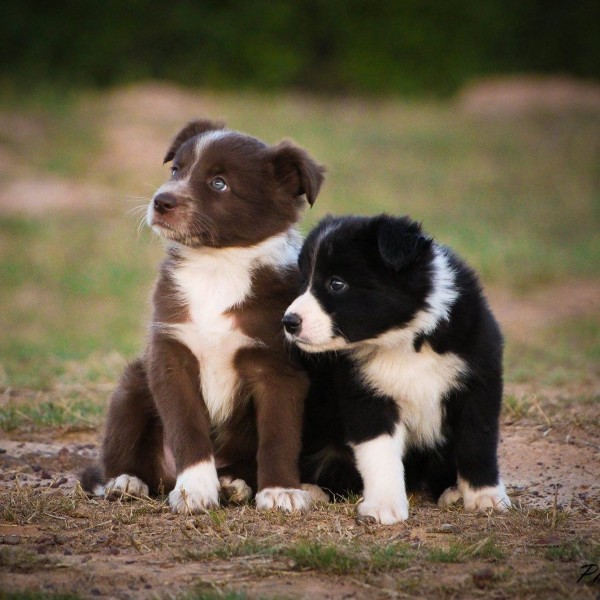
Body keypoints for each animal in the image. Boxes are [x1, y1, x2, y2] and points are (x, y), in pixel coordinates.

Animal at [82, 119, 326, 512]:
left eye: (219, 183)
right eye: (176, 170)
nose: (161, 201)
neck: (217, 268)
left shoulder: (278, 368)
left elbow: (278, 435)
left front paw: (279, 491)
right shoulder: (171, 357)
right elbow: (188, 428)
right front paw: (194, 489)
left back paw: (234, 484)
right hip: (133, 384)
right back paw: (125, 481)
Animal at [284, 217, 508, 524]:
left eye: (336, 283)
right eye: (303, 281)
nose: (288, 322)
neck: (403, 341)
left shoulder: (479, 380)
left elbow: (478, 440)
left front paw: (486, 496)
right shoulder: (366, 395)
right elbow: (379, 453)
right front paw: (384, 506)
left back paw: (452, 491)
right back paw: (312, 489)